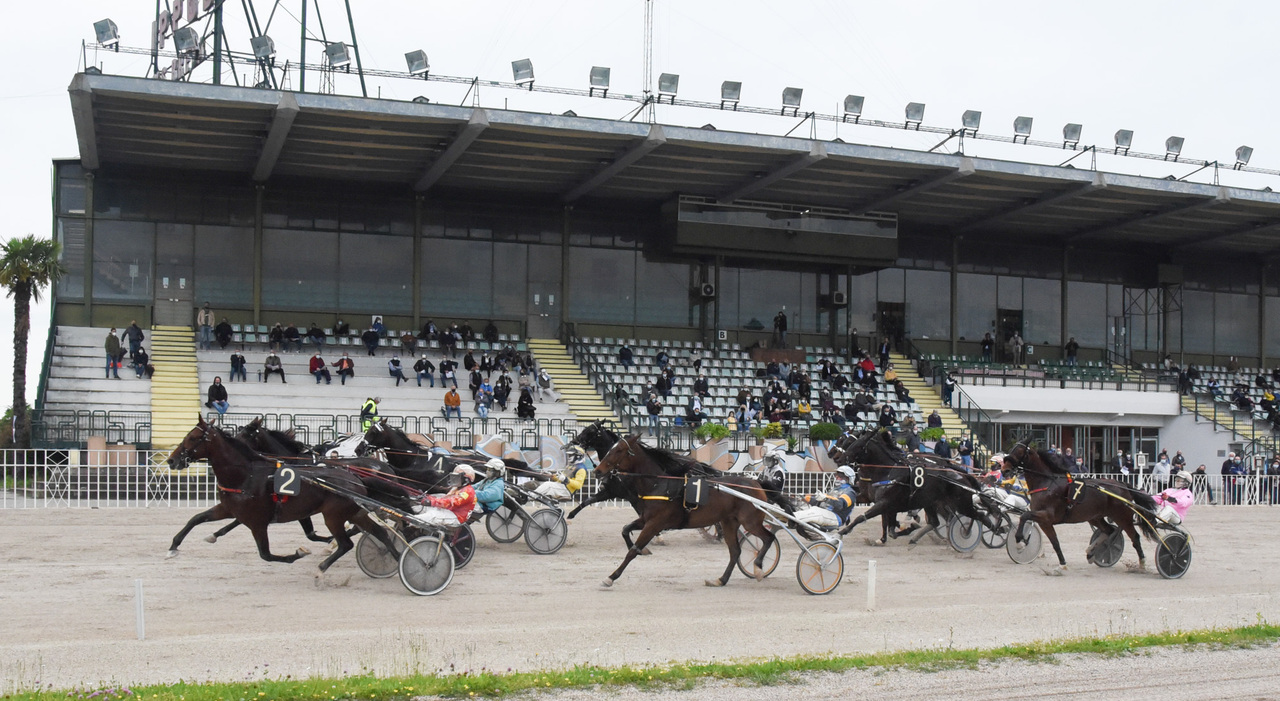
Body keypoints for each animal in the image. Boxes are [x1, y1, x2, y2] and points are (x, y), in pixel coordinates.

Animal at [165, 417, 396, 580]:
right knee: (378, 532)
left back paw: (323, 566)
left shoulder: (258, 520)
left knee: (346, 543)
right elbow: (196, 519)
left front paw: (301, 553)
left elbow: (267, 553)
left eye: (192, 438)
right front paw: (176, 546)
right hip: (355, 511)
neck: (247, 474)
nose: (171, 460)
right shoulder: (231, 509)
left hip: (334, 515)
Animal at [593, 434, 773, 588]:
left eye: (619, 450)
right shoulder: (646, 520)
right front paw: (642, 549)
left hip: (750, 522)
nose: (597, 471)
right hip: (729, 522)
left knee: (768, 538)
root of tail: (756, 484)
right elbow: (625, 530)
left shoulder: (655, 523)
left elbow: (631, 552)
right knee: (735, 551)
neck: (660, 484)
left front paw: (611, 577)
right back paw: (720, 580)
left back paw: (758, 568)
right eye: (611, 448)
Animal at [834, 427, 1003, 547]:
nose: (838, 458)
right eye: (846, 442)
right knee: (937, 521)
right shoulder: (875, 499)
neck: (887, 471)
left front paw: (843, 531)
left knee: (977, 515)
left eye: (856, 444)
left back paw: (989, 530)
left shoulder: (885, 502)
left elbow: (864, 517)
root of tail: (962, 475)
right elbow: (887, 525)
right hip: (932, 502)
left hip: (960, 503)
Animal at [998, 440, 1162, 573]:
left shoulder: (1047, 515)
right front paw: (1062, 565)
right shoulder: (1045, 521)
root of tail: (1122, 485)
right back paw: (1091, 552)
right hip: (1095, 516)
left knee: (1134, 537)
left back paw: (1142, 564)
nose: (1004, 470)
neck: (1046, 483)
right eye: (1012, 449)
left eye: (1019, 451)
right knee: (1109, 530)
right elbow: (1055, 542)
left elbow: (1025, 516)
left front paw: (1019, 540)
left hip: (1122, 516)